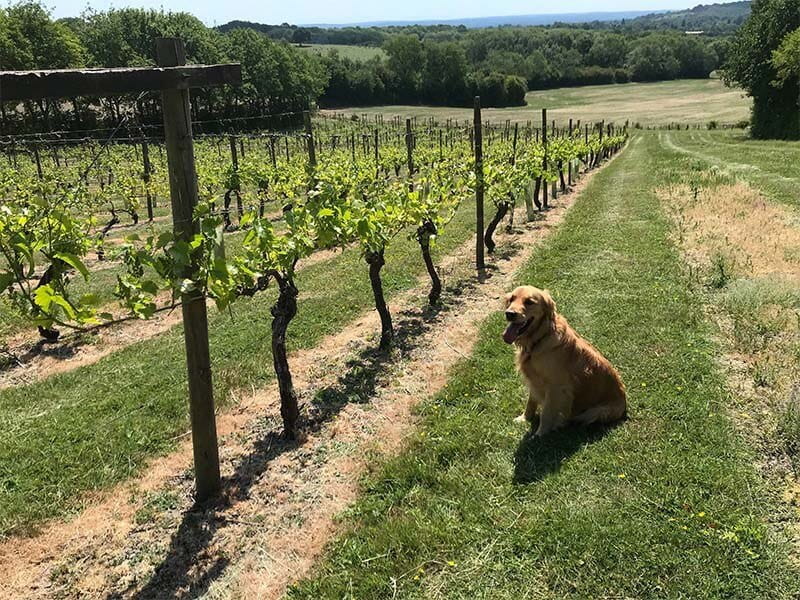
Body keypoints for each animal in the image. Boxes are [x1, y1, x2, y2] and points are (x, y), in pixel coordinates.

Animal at [506, 286, 624, 436]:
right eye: (511, 299)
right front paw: (525, 418)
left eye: (529, 302)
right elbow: (530, 402)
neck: (540, 338)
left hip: (596, 411)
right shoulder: (534, 381)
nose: (509, 314)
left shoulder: (556, 388)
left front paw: (540, 434)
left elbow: (546, 413)